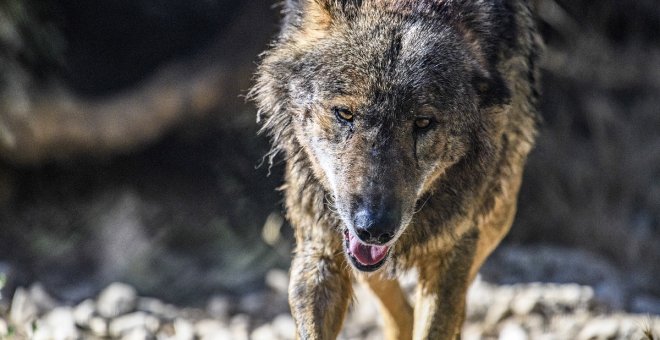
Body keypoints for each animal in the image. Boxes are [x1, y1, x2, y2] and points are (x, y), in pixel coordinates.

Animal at [250, 0, 540, 338]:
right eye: (344, 113)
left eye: (423, 122)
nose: (374, 229)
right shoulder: (319, 244)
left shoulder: (455, 246)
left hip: (495, 215)